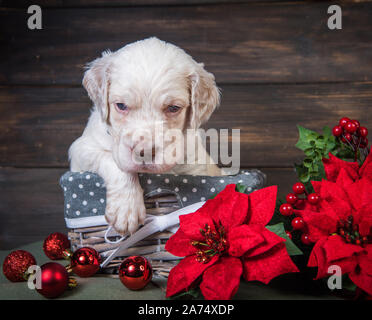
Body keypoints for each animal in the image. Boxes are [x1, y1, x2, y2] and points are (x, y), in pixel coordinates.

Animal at [69, 37, 221, 235]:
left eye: (173, 108)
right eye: (121, 105)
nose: (145, 152)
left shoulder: (198, 166)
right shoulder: (82, 150)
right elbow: (112, 160)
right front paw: (126, 210)